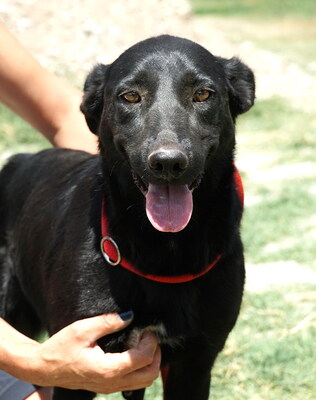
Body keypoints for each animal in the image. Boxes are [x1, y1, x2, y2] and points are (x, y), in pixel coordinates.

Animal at [0, 36, 254, 398]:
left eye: (203, 94)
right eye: (130, 96)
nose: (168, 163)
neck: (164, 250)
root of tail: (18, 159)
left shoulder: (194, 365)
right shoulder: (73, 371)